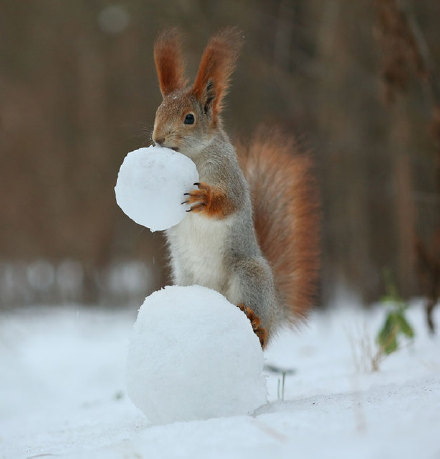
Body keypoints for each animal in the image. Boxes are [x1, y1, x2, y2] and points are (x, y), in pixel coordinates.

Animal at [151, 27, 320, 348]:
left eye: (189, 118)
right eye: (157, 111)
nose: (157, 140)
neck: (193, 156)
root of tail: (275, 309)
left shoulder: (228, 174)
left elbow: (231, 202)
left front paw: (205, 198)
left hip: (249, 275)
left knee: (260, 331)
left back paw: (258, 326)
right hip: (186, 279)